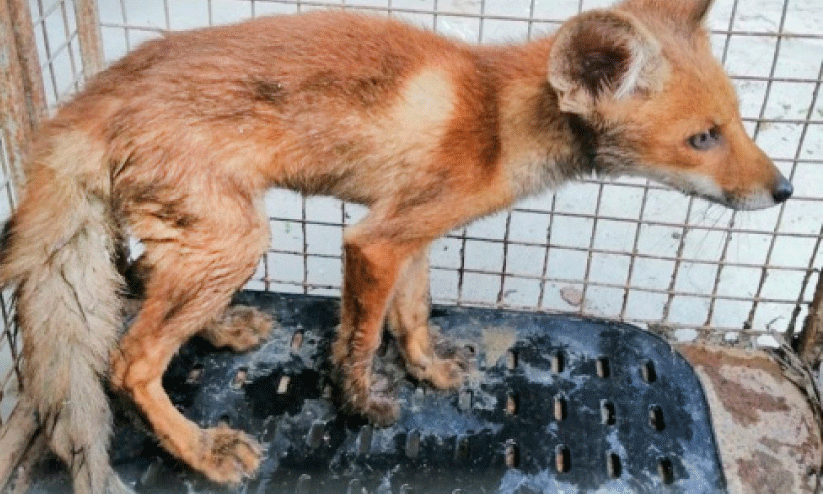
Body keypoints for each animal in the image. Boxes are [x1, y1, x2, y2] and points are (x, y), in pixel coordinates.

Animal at [0, 0, 792, 491]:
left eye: (737, 121)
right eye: (702, 138)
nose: (784, 190)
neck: (498, 123)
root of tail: (87, 97)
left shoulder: (413, 230)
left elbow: (411, 317)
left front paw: (429, 372)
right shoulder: (376, 240)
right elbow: (360, 336)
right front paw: (361, 404)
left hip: (206, 239)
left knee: (138, 274)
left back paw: (221, 329)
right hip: (237, 238)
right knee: (129, 362)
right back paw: (199, 448)